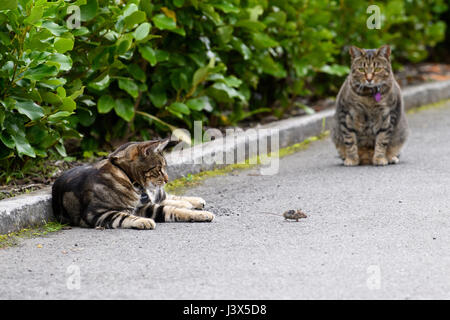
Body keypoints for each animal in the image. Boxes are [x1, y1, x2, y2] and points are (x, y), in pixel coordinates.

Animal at [52, 139, 214, 229]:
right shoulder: (97, 213)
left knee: (165, 197)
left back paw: (193, 201)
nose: (167, 179)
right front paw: (144, 221)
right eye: (159, 168)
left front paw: (202, 214)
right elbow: (125, 217)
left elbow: (173, 210)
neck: (127, 177)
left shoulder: (143, 207)